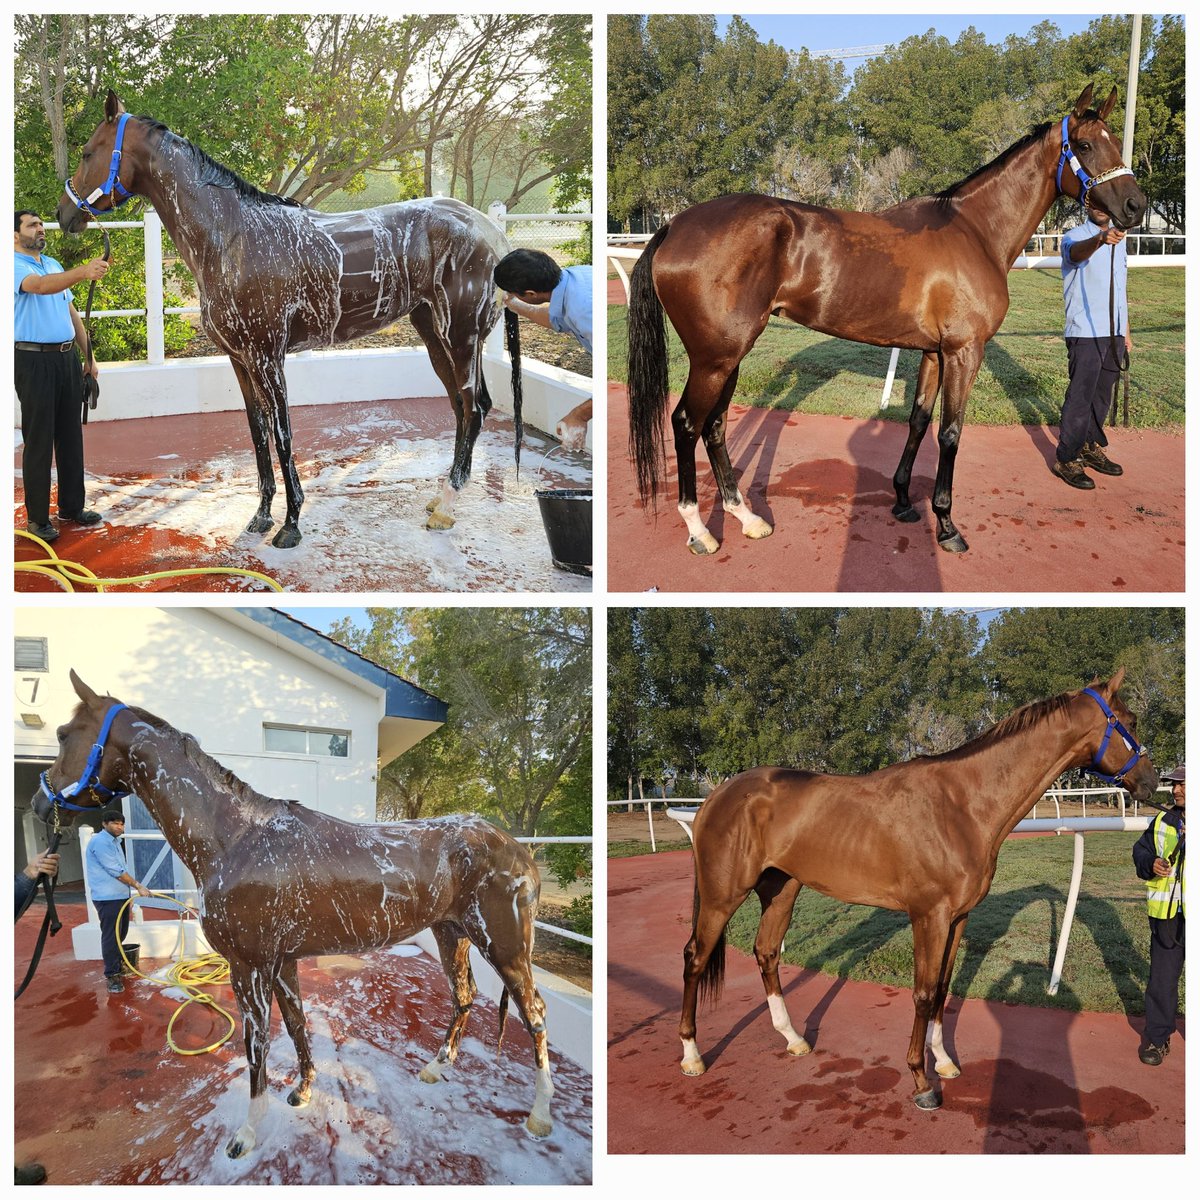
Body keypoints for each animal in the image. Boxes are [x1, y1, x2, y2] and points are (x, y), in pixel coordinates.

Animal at [35, 672, 554, 1156]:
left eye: (63, 734)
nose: (41, 805)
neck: (236, 838)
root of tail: (518, 851)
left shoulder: (249, 966)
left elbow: (256, 1045)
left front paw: (247, 1133)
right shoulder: (281, 961)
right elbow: (298, 1024)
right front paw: (303, 1091)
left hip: (505, 947)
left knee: (533, 1013)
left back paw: (540, 1115)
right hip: (452, 934)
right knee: (464, 997)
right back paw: (435, 1067)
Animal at [57, 88, 520, 549]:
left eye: (86, 152)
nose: (64, 214)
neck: (233, 237)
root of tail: (493, 233)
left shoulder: (267, 357)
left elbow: (282, 435)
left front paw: (291, 523)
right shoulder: (240, 360)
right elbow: (259, 434)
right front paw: (261, 516)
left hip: (461, 337)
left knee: (475, 408)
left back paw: (446, 506)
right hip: (433, 334)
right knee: (461, 407)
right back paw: (440, 498)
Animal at [628, 84, 1142, 556]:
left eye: (1117, 140)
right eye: (1086, 145)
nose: (1135, 206)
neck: (975, 232)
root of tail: (673, 225)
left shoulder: (934, 353)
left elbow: (917, 421)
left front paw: (902, 500)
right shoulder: (964, 353)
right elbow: (950, 433)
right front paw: (947, 525)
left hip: (728, 356)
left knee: (714, 425)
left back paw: (746, 517)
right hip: (715, 358)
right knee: (686, 423)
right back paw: (699, 531)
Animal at [686, 667, 1161, 1104]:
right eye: (1131, 720)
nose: (1153, 782)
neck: (962, 805)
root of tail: (717, 796)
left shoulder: (958, 918)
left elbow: (943, 990)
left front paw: (944, 1061)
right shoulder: (928, 916)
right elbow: (923, 992)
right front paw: (920, 1080)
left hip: (781, 890)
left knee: (766, 953)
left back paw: (794, 1039)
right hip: (723, 896)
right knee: (695, 956)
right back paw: (692, 1056)